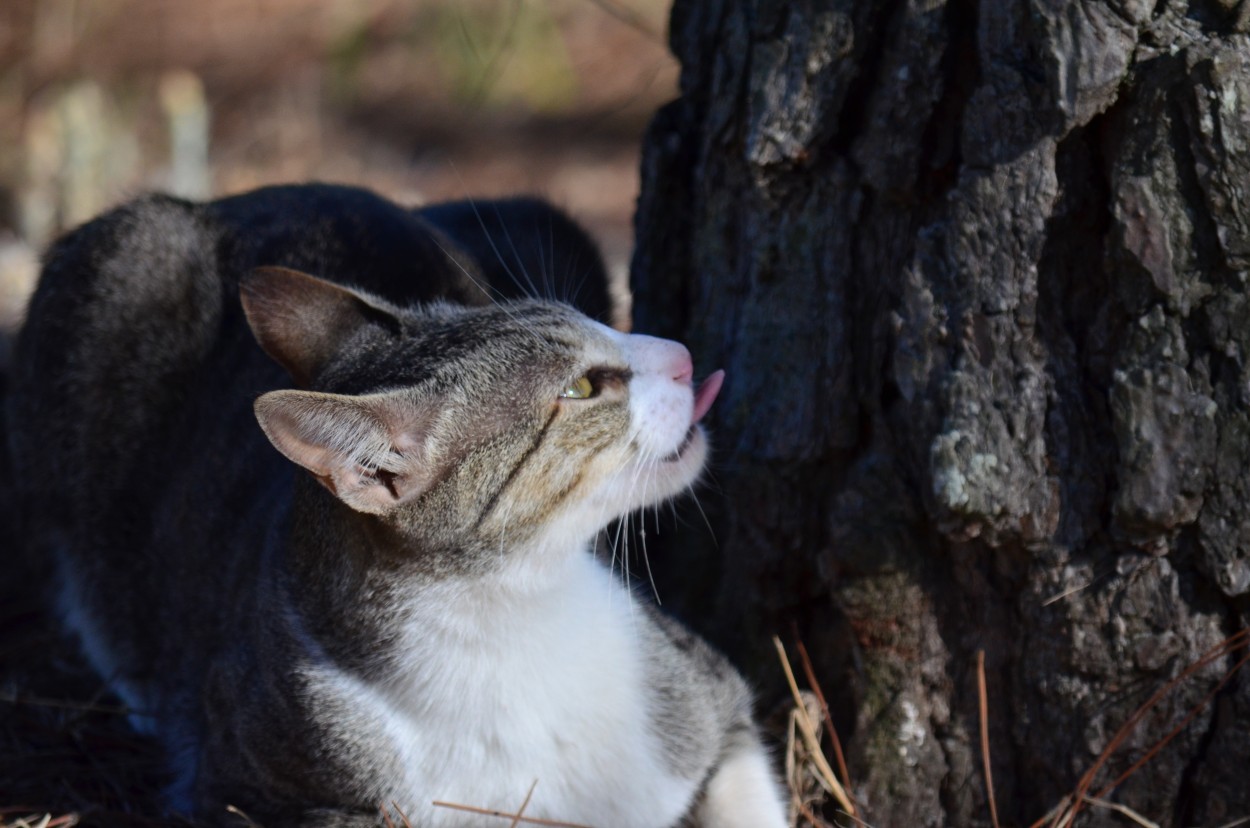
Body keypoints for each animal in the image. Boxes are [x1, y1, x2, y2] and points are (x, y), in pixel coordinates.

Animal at [7, 185, 790, 825]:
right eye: (584, 389)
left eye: (604, 324)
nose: (683, 353)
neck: (509, 615)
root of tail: (236, 199)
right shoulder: (250, 789)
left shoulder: (704, 699)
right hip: (120, 269)